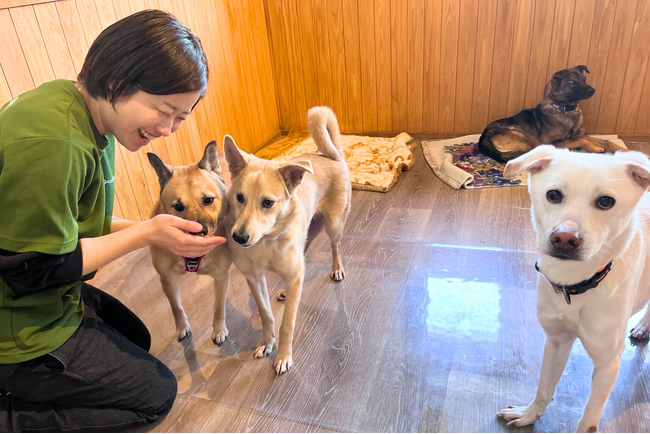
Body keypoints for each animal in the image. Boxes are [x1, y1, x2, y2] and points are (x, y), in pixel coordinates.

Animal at [146, 142, 230, 346]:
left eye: (208, 200)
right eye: (178, 206)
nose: (199, 231)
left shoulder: (221, 276)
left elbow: (220, 308)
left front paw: (219, 329)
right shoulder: (167, 279)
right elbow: (175, 307)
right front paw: (182, 326)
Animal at [225, 105, 352, 372]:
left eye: (267, 203)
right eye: (239, 197)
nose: (239, 237)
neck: (266, 242)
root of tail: (332, 156)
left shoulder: (292, 278)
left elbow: (288, 323)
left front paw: (283, 356)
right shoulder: (254, 279)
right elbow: (266, 315)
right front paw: (266, 343)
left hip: (334, 225)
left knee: (335, 246)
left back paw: (336, 269)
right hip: (309, 231)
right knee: (305, 253)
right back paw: (285, 290)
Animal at [478, 65, 624, 164]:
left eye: (584, 79)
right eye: (572, 83)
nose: (593, 90)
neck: (565, 109)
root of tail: (483, 137)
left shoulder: (581, 135)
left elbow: (606, 141)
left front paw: (622, 149)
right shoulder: (551, 142)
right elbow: (582, 140)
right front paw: (595, 148)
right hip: (533, 140)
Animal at [496, 147, 648, 434]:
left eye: (606, 201)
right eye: (553, 195)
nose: (565, 239)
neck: (576, 285)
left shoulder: (607, 365)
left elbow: (588, 420)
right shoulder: (557, 341)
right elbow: (544, 387)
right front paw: (530, 414)